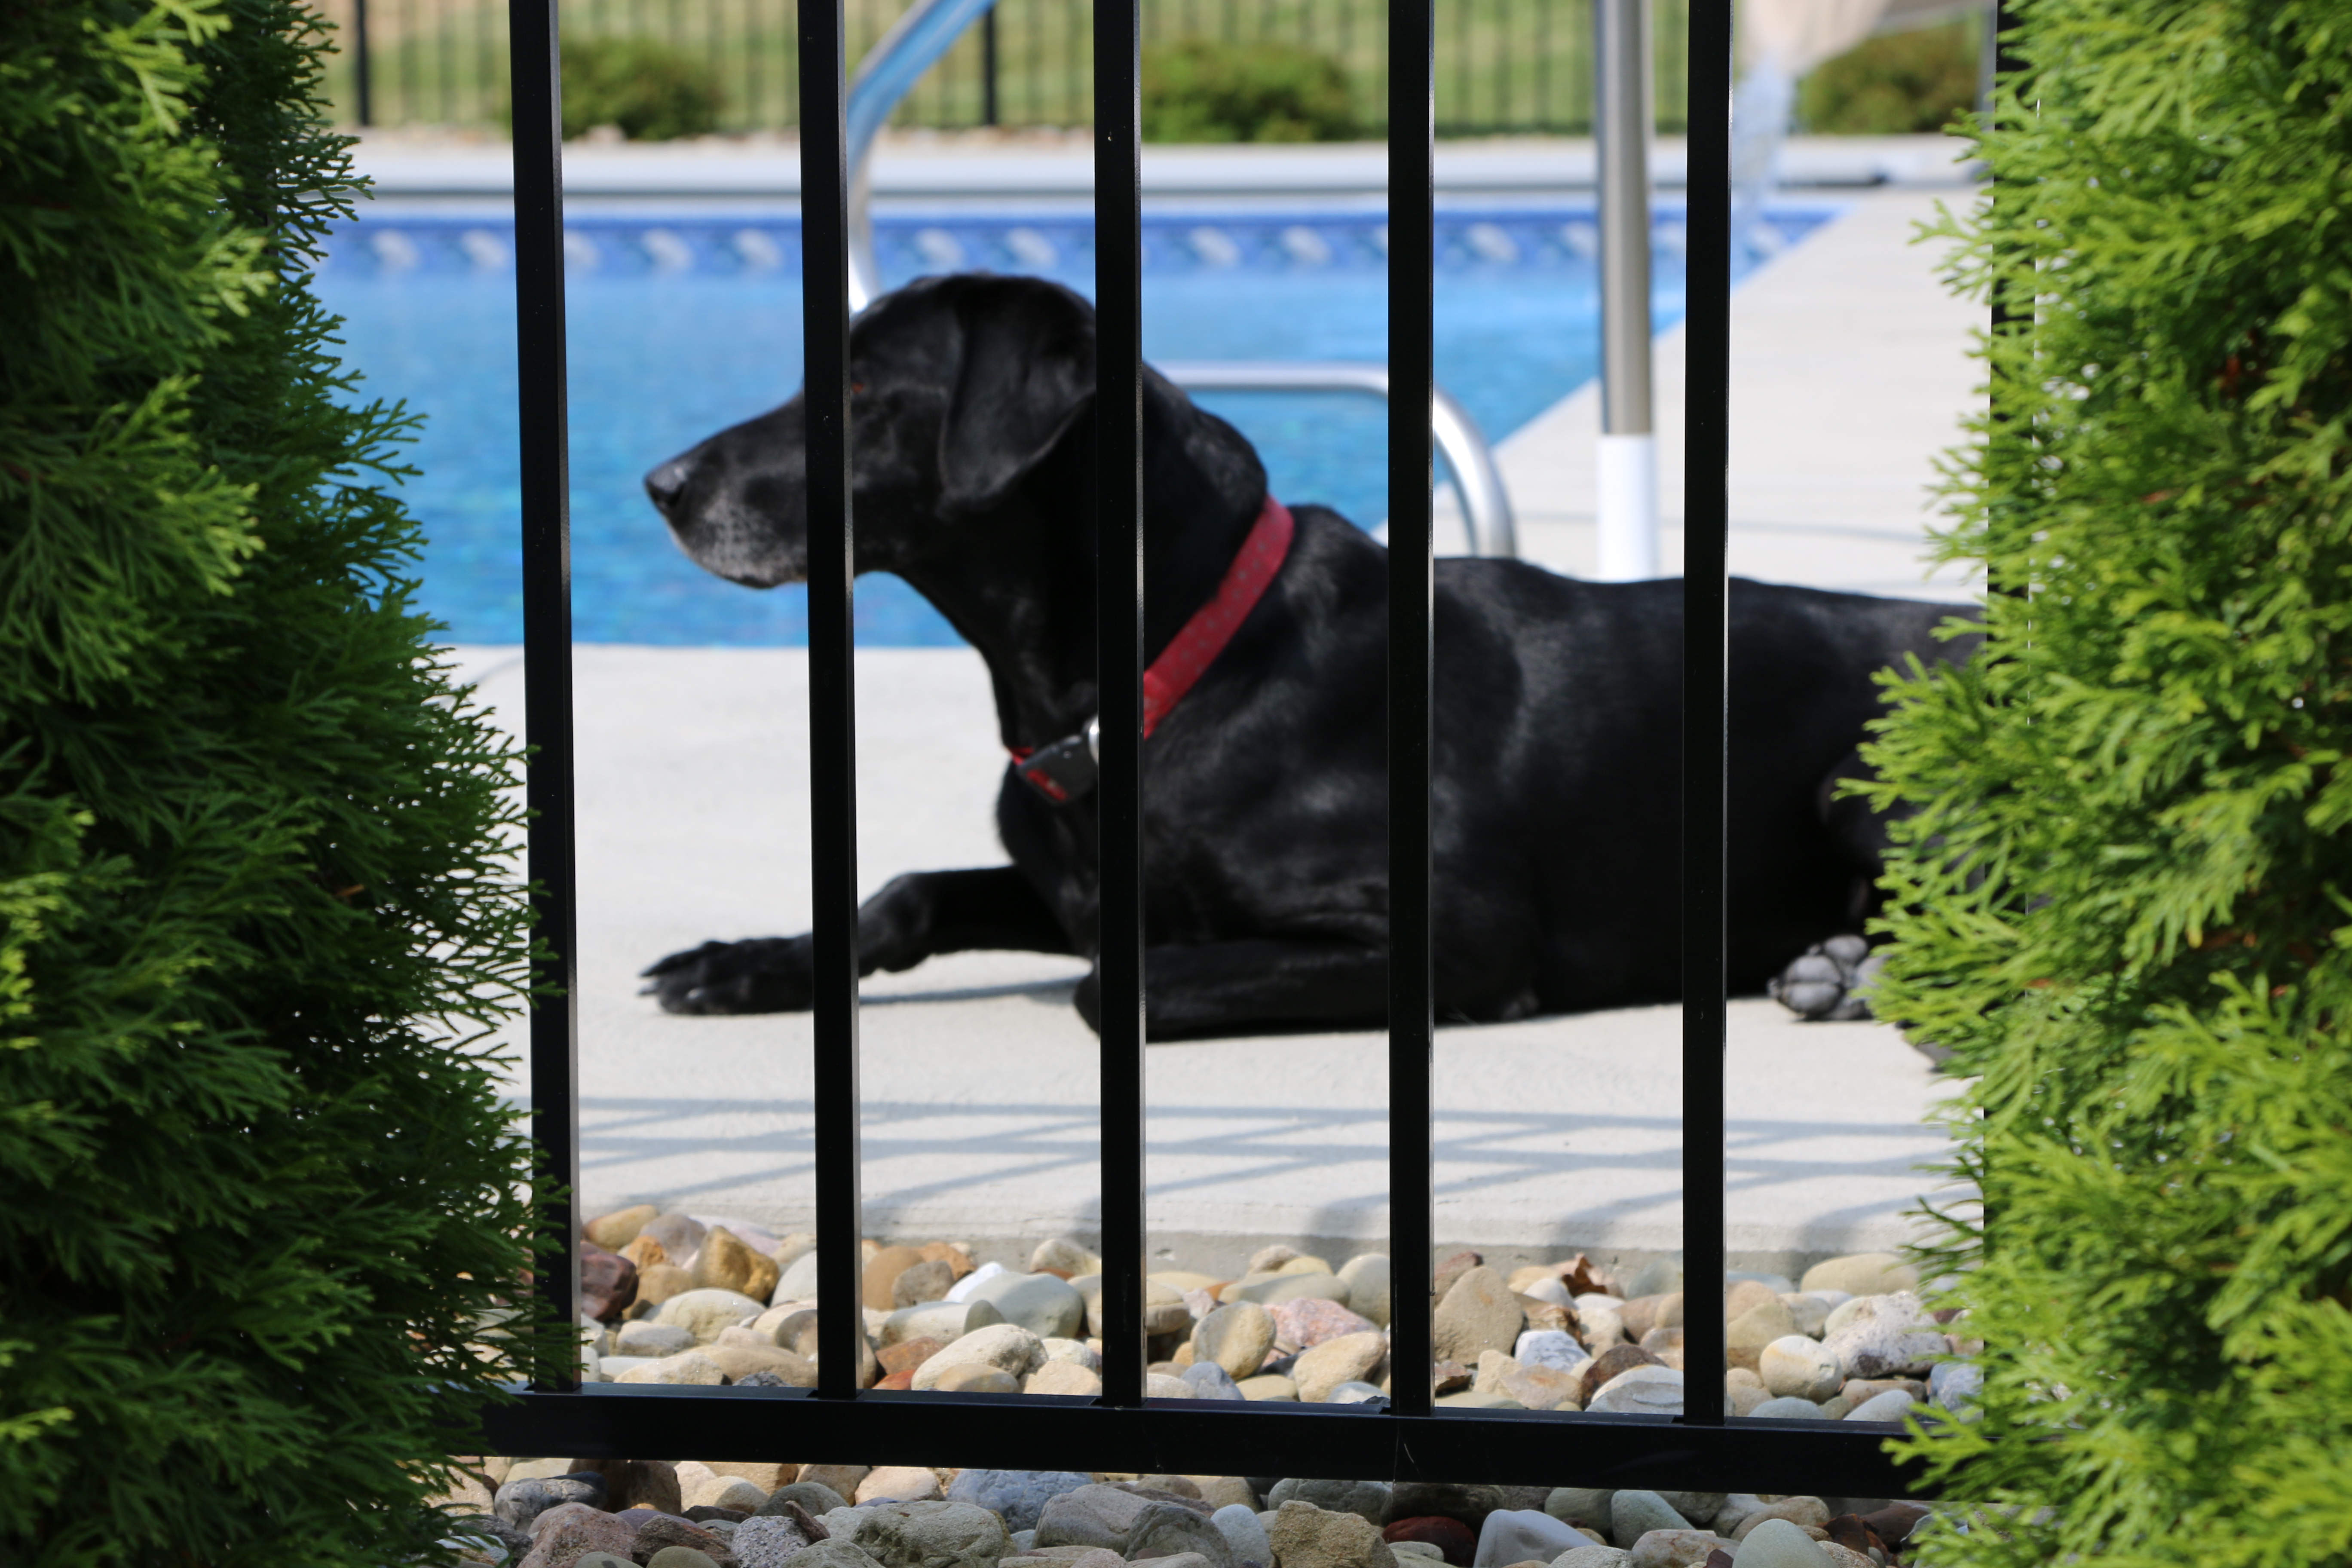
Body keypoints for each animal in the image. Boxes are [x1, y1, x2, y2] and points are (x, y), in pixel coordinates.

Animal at [635, 279, 1975, 1044]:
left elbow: (1120, 983)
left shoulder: (1454, 937)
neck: (1164, 676)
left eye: (864, 386)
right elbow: (909, 892)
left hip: (1864, 785)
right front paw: (747, 966)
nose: (662, 487)